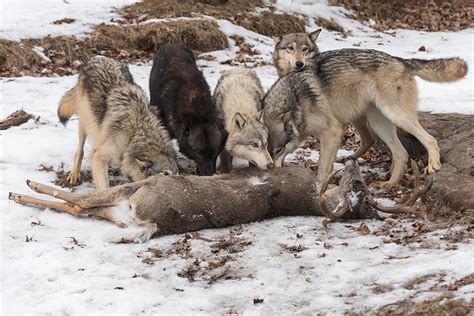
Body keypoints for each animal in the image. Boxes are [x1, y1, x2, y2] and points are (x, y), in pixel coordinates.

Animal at [57, 55, 179, 191]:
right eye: (165, 173)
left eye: (177, 173)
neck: (136, 134)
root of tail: (97, 57)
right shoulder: (98, 156)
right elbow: (104, 188)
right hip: (85, 124)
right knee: (80, 150)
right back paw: (74, 174)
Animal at [268, 30, 468, 188]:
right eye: (290, 48)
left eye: (305, 49)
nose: (299, 64)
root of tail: (400, 60)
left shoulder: (334, 129)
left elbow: (323, 167)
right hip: (375, 121)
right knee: (396, 151)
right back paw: (388, 183)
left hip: (394, 115)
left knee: (429, 139)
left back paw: (432, 165)